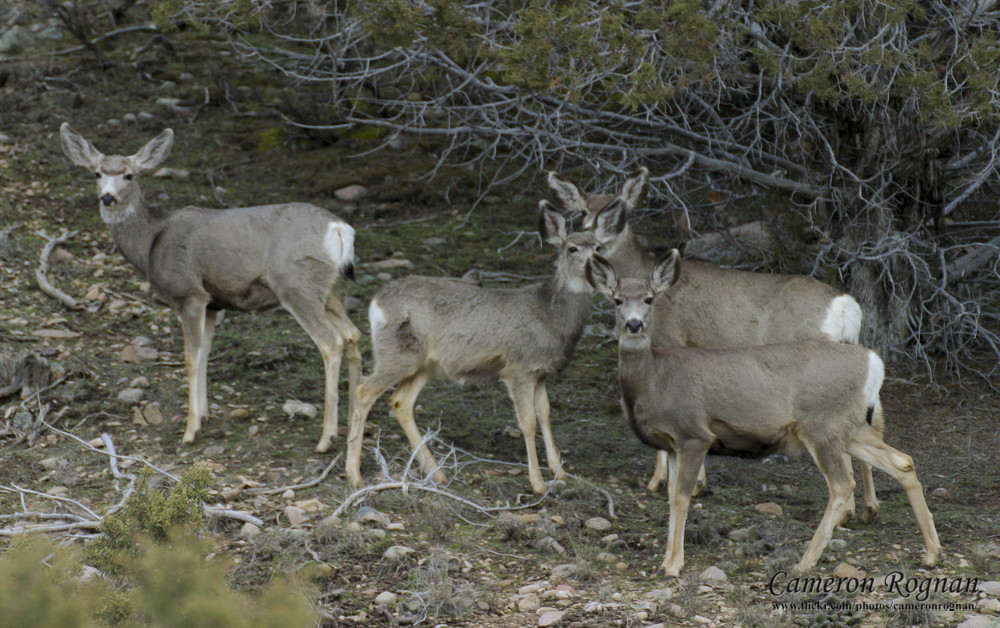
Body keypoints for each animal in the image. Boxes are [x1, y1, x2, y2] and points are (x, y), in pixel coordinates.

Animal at [59, 123, 361, 453]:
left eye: (129, 175)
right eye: (96, 173)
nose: (107, 198)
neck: (151, 242)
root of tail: (339, 229)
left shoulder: (189, 293)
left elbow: (191, 357)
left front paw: (190, 431)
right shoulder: (214, 303)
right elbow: (205, 353)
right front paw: (203, 416)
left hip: (297, 284)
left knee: (331, 342)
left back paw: (326, 438)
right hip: (333, 291)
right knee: (353, 334)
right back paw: (353, 422)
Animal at [344, 202, 601, 494]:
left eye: (599, 246)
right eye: (573, 248)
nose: (596, 264)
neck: (551, 316)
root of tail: (375, 302)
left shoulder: (542, 372)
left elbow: (546, 415)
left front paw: (560, 473)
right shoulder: (518, 368)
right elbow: (528, 421)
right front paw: (537, 483)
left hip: (424, 363)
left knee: (400, 402)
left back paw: (437, 474)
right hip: (397, 353)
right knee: (364, 391)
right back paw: (355, 475)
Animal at [548, 168, 880, 526]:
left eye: (619, 211)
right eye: (584, 210)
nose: (593, 237)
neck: (640, 272)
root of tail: (846, 306)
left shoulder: (670, 339)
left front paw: (669, 481)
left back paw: (848, 510)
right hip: (852, 348)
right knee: (876, 415)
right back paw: (868, 508)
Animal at [587, 252, 940, 576]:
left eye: (649, 299)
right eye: (617, 300)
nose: (634, 324)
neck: (654, 379)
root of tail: (873, 361)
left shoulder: (694, 434)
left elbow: (682, 497)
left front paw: (674, 565)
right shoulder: (672, 443)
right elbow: (672, 497)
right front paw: (666, 560)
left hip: (822, 427)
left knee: (842, 485)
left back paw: (806, 561)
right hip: (849, 429)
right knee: (902, 461)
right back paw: (931, 552)